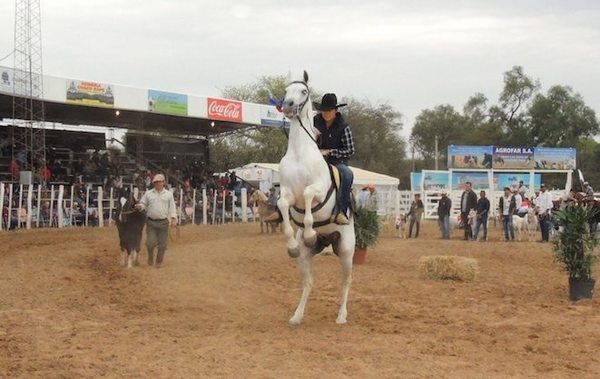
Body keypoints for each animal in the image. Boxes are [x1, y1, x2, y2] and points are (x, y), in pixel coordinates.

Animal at [278, 71, 356, 326]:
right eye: (285, 90)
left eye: (303, 91)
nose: (288, 106)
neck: (299, 153)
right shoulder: (286, 192)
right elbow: (282, 205)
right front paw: (293, 244)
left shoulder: (318, 190)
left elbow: (309, 195)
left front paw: (311, 232)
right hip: (306, 257)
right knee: (308, 282)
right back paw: (297, 316)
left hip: (346, 252)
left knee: (345, 282)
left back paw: (341, 316)